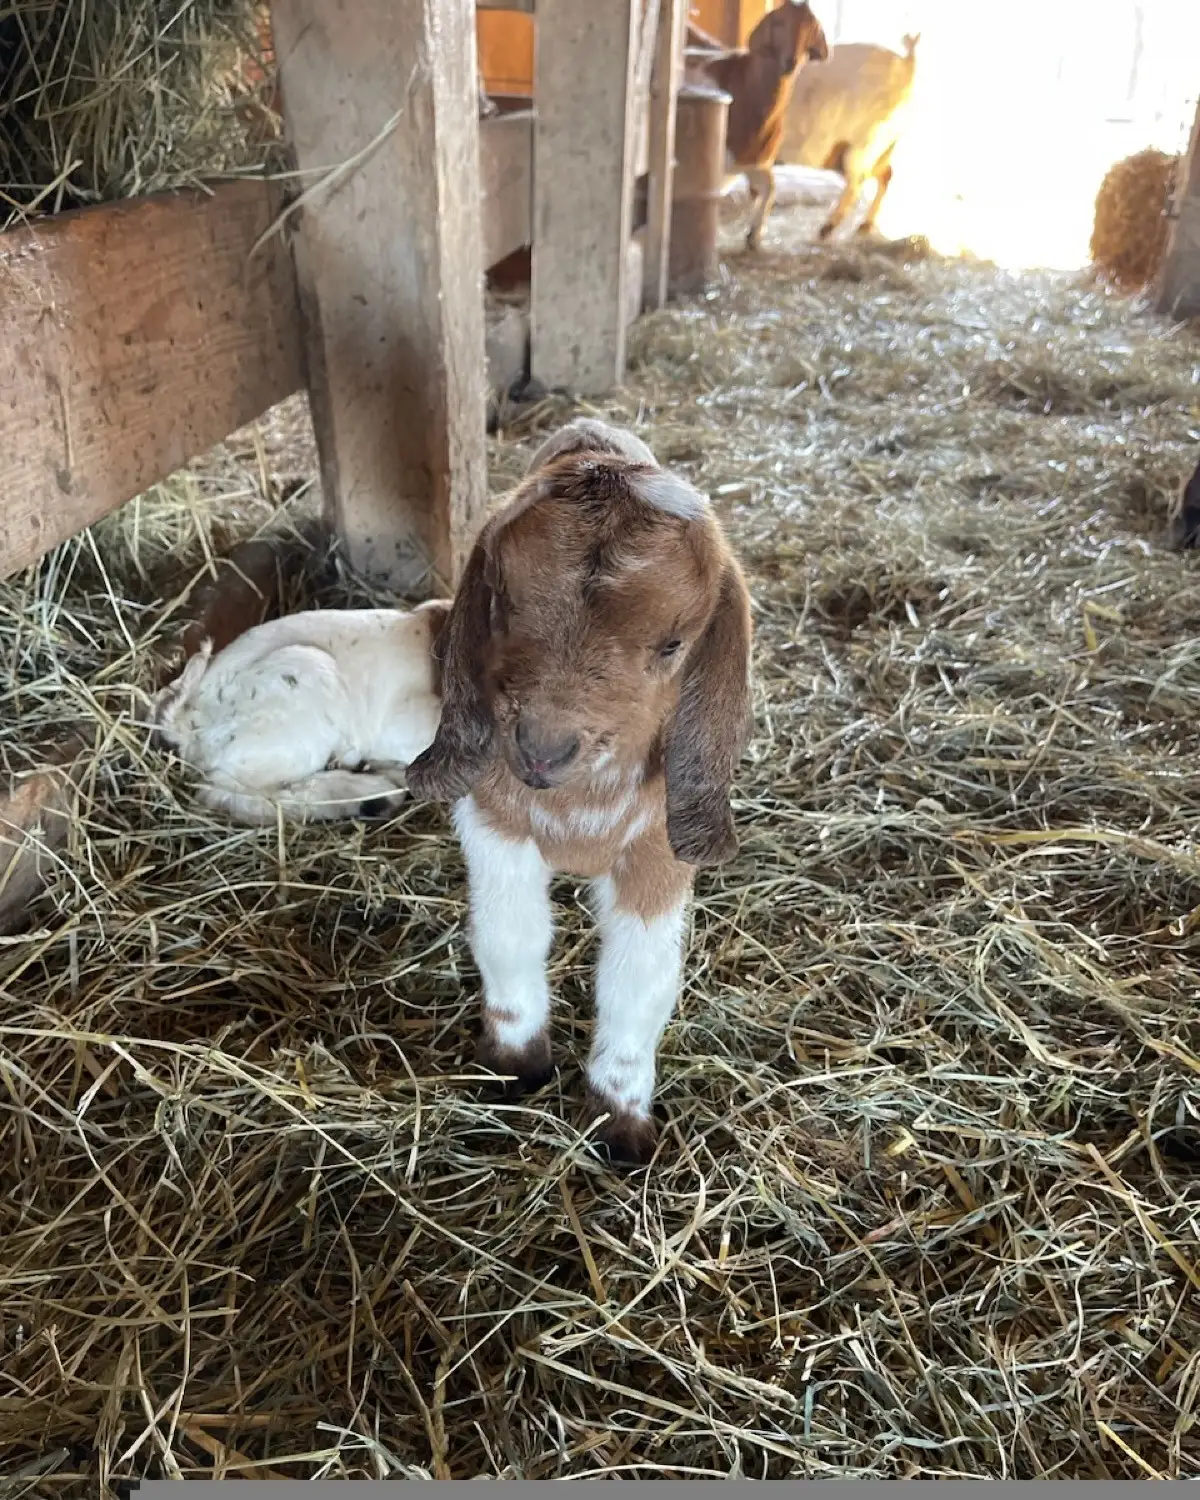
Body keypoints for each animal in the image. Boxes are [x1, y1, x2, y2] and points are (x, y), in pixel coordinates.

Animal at [406, 417, 754, 1164]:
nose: (541, 751)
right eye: (502, 600)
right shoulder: (495, 821)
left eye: (673, 645)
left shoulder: (658, 853)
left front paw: (620, 1126)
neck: (575, 811)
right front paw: (515, 1066)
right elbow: (509, 935)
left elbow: (637, 981)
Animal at [694, 2, 830, 251]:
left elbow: (769, 186)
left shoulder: (751, 162)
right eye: (779, 23)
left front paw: (753, 236)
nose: (791, 61)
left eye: (811, 27)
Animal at [776, 33, 920, 241]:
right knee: (885, 174)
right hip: (879, 148)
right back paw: (864, 225)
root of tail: (906, 65)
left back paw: (827, 229)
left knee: (859, 181)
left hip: (863, 143)